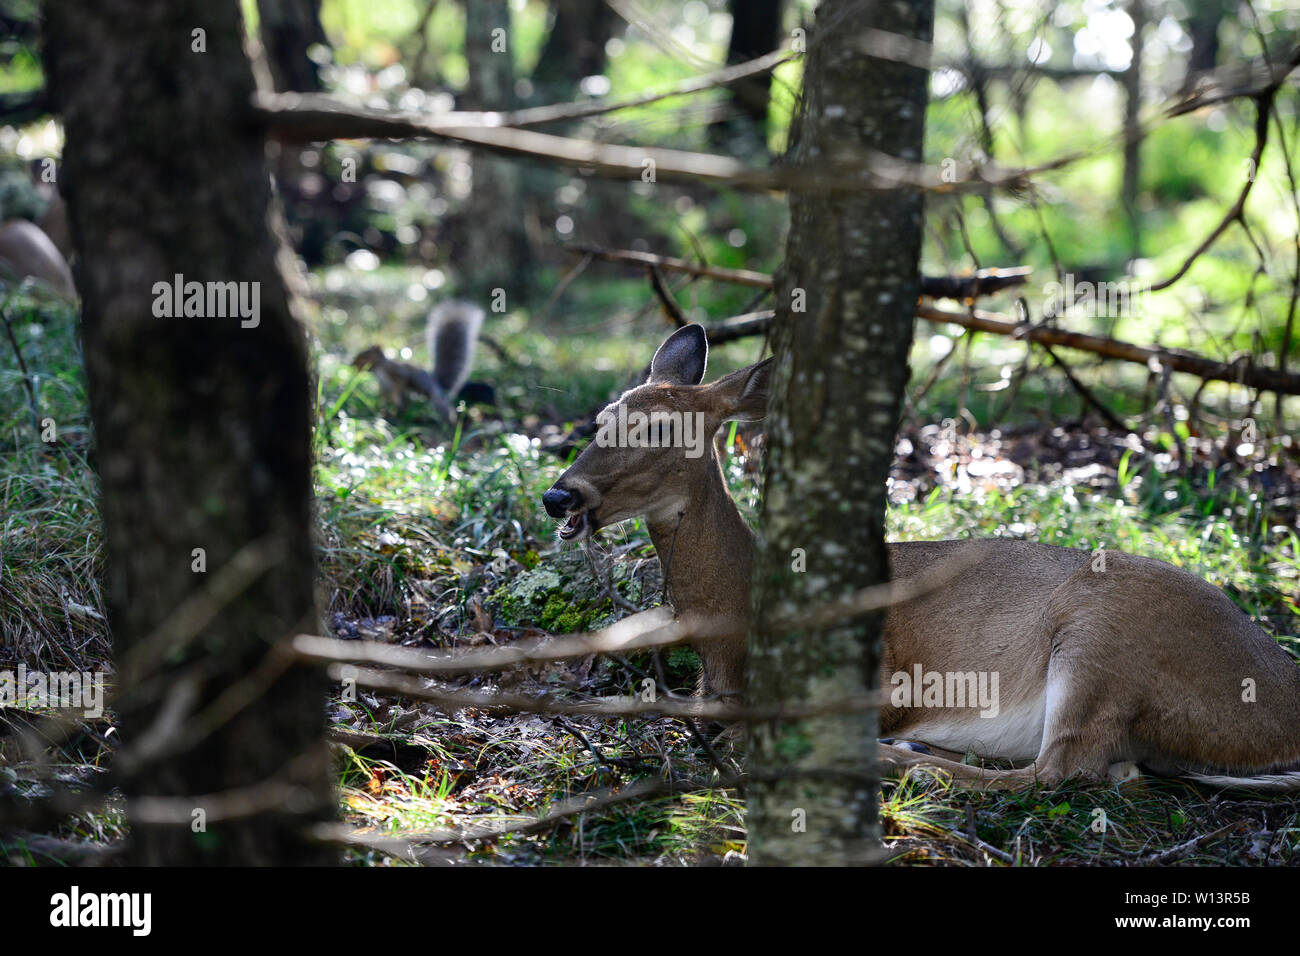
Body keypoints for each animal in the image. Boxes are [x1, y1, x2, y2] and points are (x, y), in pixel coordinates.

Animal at [351, 299, 491, 418]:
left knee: (444, 409)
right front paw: (380, 408)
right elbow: (383, 397)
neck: (379, 368)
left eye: (365, 355)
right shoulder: (383, 386)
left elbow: (399, 384)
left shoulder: (397, 373)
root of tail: (438, 385)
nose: (352, 364)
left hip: (434, 397)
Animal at [543, 325, 1300, 790]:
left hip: (1105, 638)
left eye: (658, 430)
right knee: (1112, 770)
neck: (732, 636)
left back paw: (904, 754)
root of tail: (1283, 703)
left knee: (1058, 769)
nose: (558, 494)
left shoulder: (879, 675)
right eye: (603, 417)